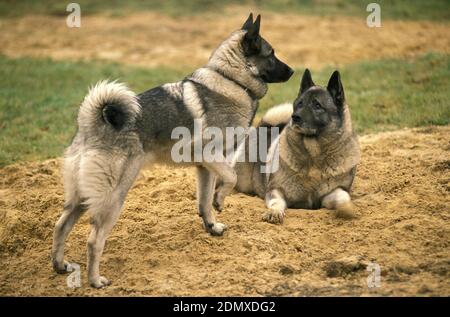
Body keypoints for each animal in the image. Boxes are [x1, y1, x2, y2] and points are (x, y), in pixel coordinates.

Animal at [51, 13, 294, 288]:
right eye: (271, 54)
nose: (292, 71)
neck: (230, 79)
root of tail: (91, 124)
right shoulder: (208, 155)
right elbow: (229, 178)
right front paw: (220, 199)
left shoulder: (205, 168)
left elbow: (203, 203)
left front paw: (212, 226)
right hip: (113, 197)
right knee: (94, 240)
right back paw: (95, 280)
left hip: (82, 196)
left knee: (60, 226)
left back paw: (59, 265)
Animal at [230, 68, 360, 222]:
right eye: (299, 104)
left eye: (317, 105)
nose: (295, 117)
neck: (314, 156)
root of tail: (263, 127)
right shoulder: (276, 190)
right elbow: (277, 202)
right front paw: (274, 212)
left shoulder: (332, 193)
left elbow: (343, 197)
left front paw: (347, 209)